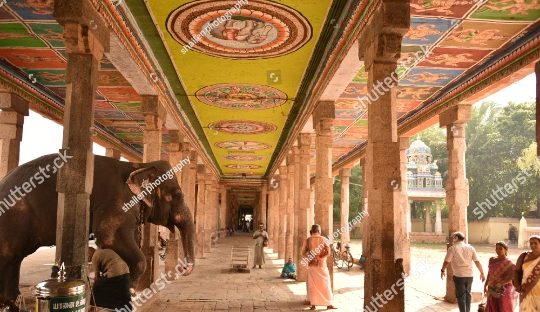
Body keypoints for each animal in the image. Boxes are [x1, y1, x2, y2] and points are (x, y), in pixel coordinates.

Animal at [0, 154, 196, 300]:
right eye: (178, 195)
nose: (183, 270)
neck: (140, 165)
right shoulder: (117, 199)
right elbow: (109, 236)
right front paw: (128, 292)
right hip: (14, 215)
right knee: (10, 253)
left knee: (14, 257)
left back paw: (12, 299)